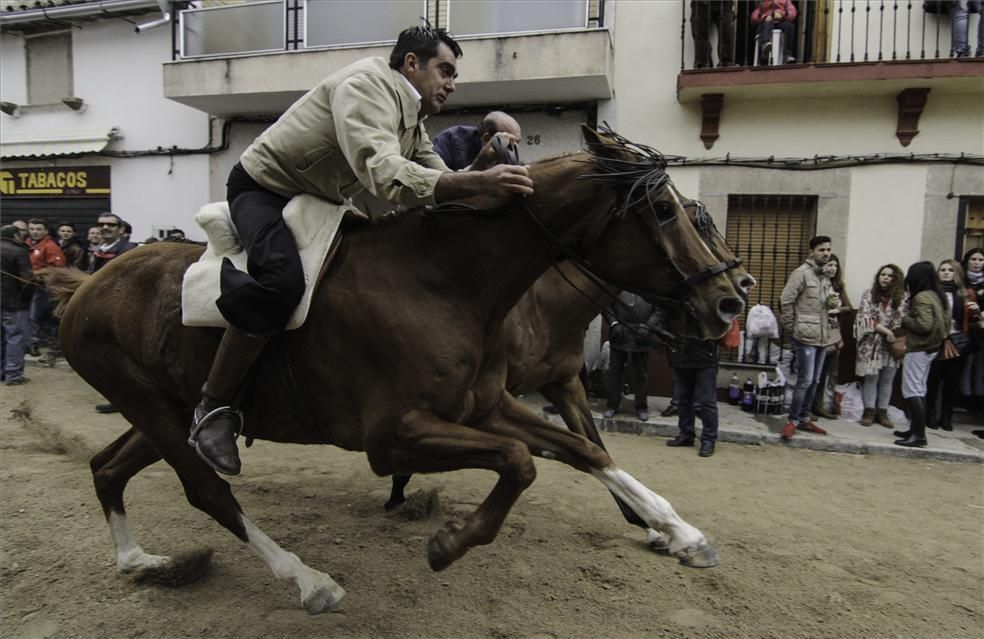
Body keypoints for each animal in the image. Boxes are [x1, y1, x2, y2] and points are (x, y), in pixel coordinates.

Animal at [52, 126, 744, 616]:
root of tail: (90, 281)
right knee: (208, 491)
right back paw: (309, 581)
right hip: (151, 408)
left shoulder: (492, 404)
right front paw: (450, 542)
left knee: (108, 467)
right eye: (665, 209)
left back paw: (136, 559)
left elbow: (582, 448)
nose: (729, 301)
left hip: (166, 411)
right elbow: (520, 462)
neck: (442, 282)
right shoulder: (393, 436)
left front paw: (677, 530)